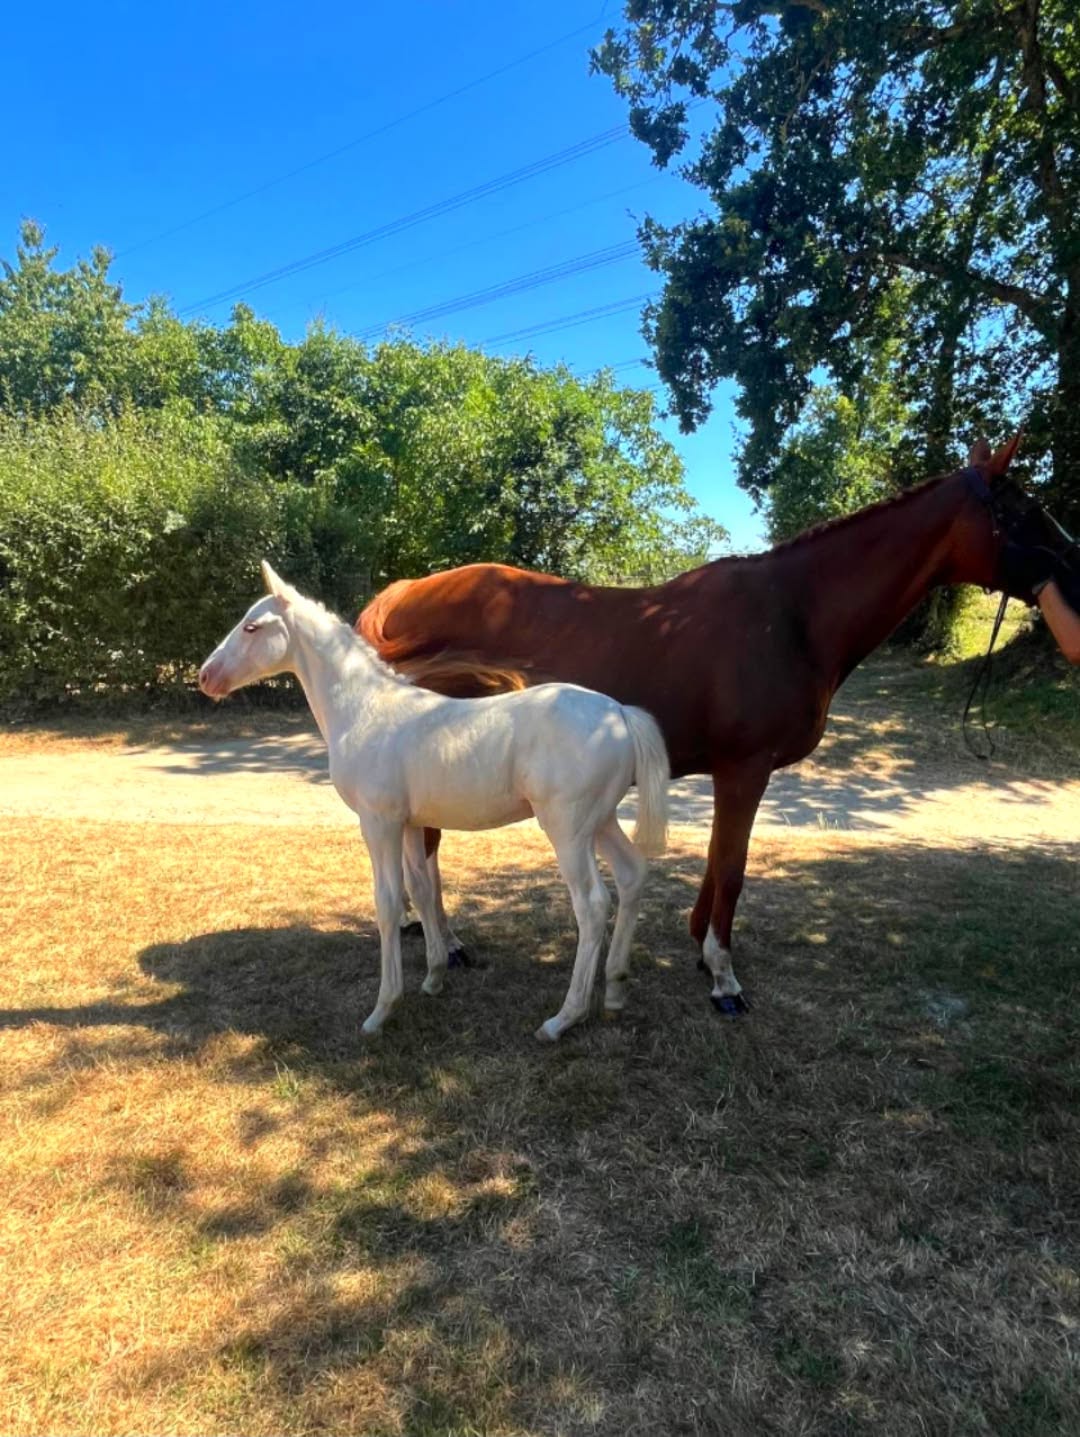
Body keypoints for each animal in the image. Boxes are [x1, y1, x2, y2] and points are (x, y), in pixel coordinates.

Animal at [199, 562, 670, 1041]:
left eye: (252, 626)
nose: (205, 676)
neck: (367, 709)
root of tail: (620, 714)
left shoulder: (379, 823)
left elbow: (388, 903)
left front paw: (383, 1009)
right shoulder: (410, 824)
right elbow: (422, 893)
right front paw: (434, 977)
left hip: (568, 829)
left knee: (591, 905)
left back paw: (562, 1019)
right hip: (601, 821)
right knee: (632, 874)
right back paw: (615, 990)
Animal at [358, 435, 1080, 1014]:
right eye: (1022, 509)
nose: (1075, 568)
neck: (790, 616)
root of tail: (405, 592)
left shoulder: (732, 773)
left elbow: (715, 862)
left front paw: (700, 949)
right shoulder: (745, 769)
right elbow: (731, 866)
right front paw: (723, 977)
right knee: (425, 854)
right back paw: (447, 945)